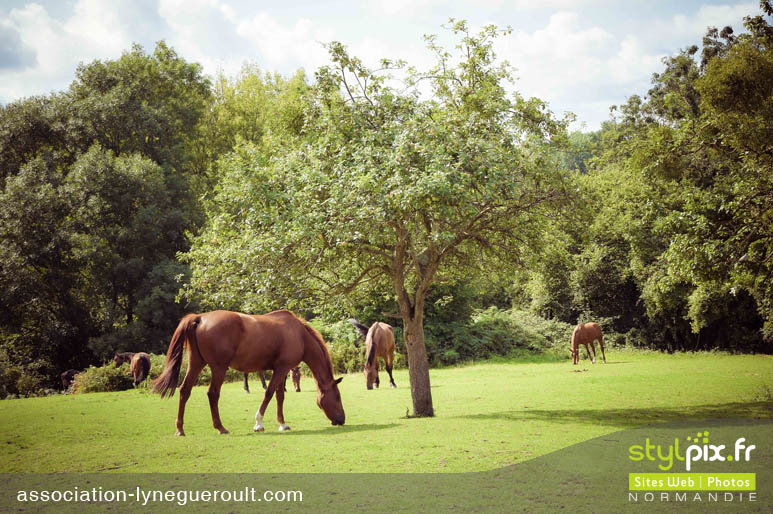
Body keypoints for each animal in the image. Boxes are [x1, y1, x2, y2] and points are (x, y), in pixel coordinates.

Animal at [152, 308, 344, 436]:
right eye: (337, 396)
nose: (342, 419)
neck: (298, 334)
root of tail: (199, 318)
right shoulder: (281, 369)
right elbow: (269, 393)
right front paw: (259, 423)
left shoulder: (281, 369)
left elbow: (279, 396)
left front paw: (282, 424)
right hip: (218, 368)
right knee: (213, 394)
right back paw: (220, 427)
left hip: (196, 364)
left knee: (185, 391)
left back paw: (180, 429)